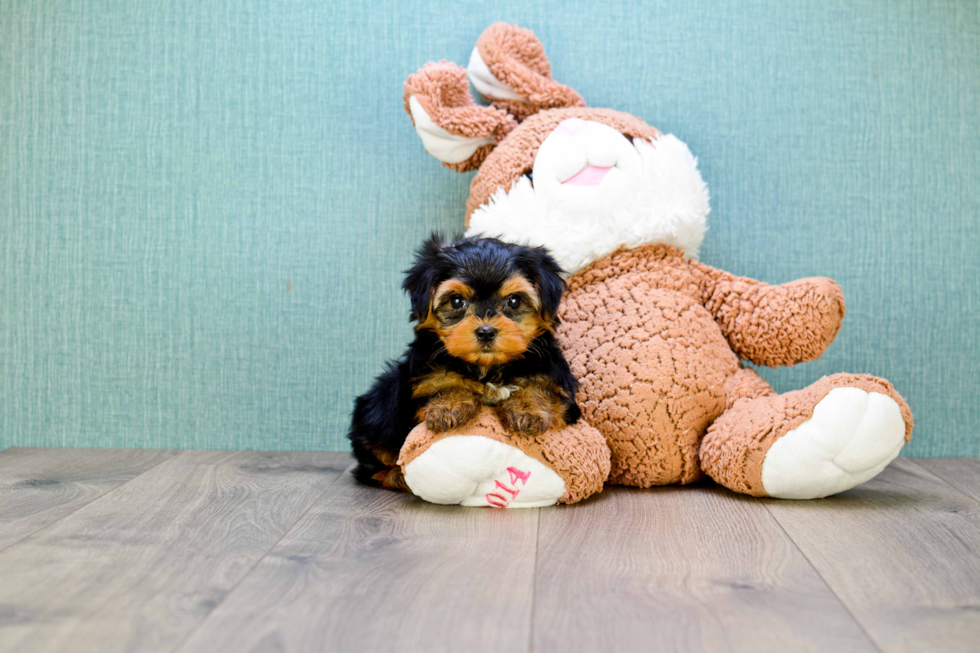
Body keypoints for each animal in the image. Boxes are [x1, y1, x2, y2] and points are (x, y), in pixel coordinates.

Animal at [350, 234, 580, 488]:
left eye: (514, 301)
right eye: (457, 301)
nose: (486, 331)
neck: (488, 368)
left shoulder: (557, 382)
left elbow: (541, 387)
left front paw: (528, 409)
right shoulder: (422, 379)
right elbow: (441, 382)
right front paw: (448, 407)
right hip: (377, 411)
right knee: (372, 464)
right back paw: (397, 476)